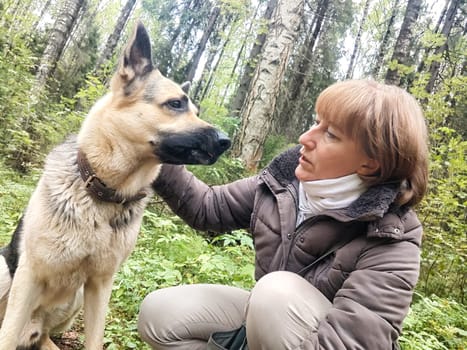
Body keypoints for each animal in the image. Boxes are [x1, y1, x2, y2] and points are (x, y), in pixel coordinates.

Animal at [0, 23, 231, 348]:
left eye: (196, 110)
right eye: (175, 104)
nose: (226, 141)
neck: (102, 191)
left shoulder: (100, 285)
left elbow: (95, 339)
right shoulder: (29, 275)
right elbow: (6, 335)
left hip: (73, 300)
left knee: (42, 334)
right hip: (4, 274)